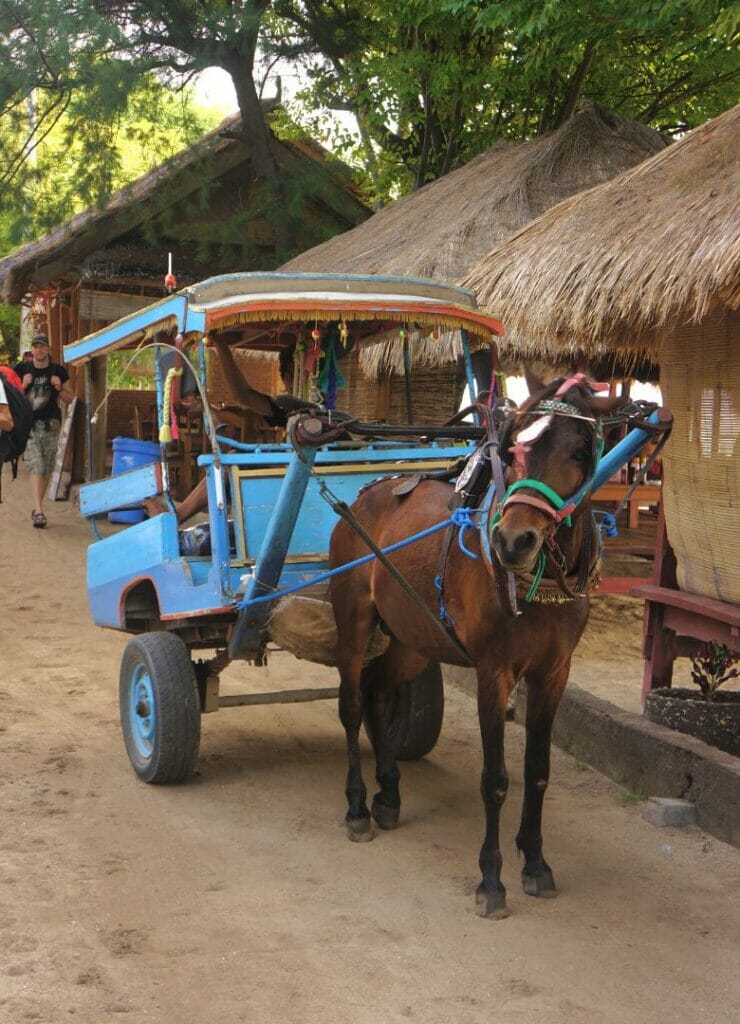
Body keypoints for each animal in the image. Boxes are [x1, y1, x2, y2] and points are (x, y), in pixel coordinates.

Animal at [327, 376, 622, 921]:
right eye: (513, 448)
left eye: (579, 450)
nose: (513, 541)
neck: (539, 582)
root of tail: (368, 493)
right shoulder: (494, 672)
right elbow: (495, 778)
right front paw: (491, 877)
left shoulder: (555, 673)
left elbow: (538, 770)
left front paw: (536, 863)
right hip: (354, 622)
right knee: (353, 704)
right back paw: (357, 805)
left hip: (414, 640)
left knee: (379, 692)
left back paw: (389, 793)